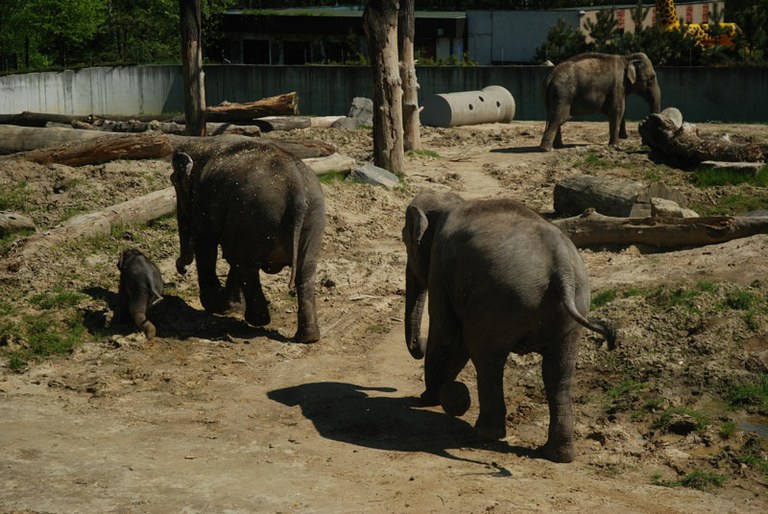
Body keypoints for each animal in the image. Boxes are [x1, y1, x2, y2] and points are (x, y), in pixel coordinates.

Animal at [171, 138, 328, 342]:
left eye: (174, 181)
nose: (181, 268)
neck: (204, 145)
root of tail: (298, 191)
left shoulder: (202, 202)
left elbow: (205, 244)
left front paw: (219, 307)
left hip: (254, 215)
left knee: (244, 263)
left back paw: (255, 320)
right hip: (313, 217)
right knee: (305, 270)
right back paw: (308, 338)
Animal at [400, 190, 616, 462]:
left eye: (405, 239)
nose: (418, 344)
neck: (450, 201)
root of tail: (563, 268)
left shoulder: (440, 264)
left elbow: (446, 331)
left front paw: (431, 399)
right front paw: (443, 397)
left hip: (500, 299)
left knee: (485, 355)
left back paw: (485, 434)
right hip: (575, 304)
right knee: (559, 370)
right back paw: (557, 454)